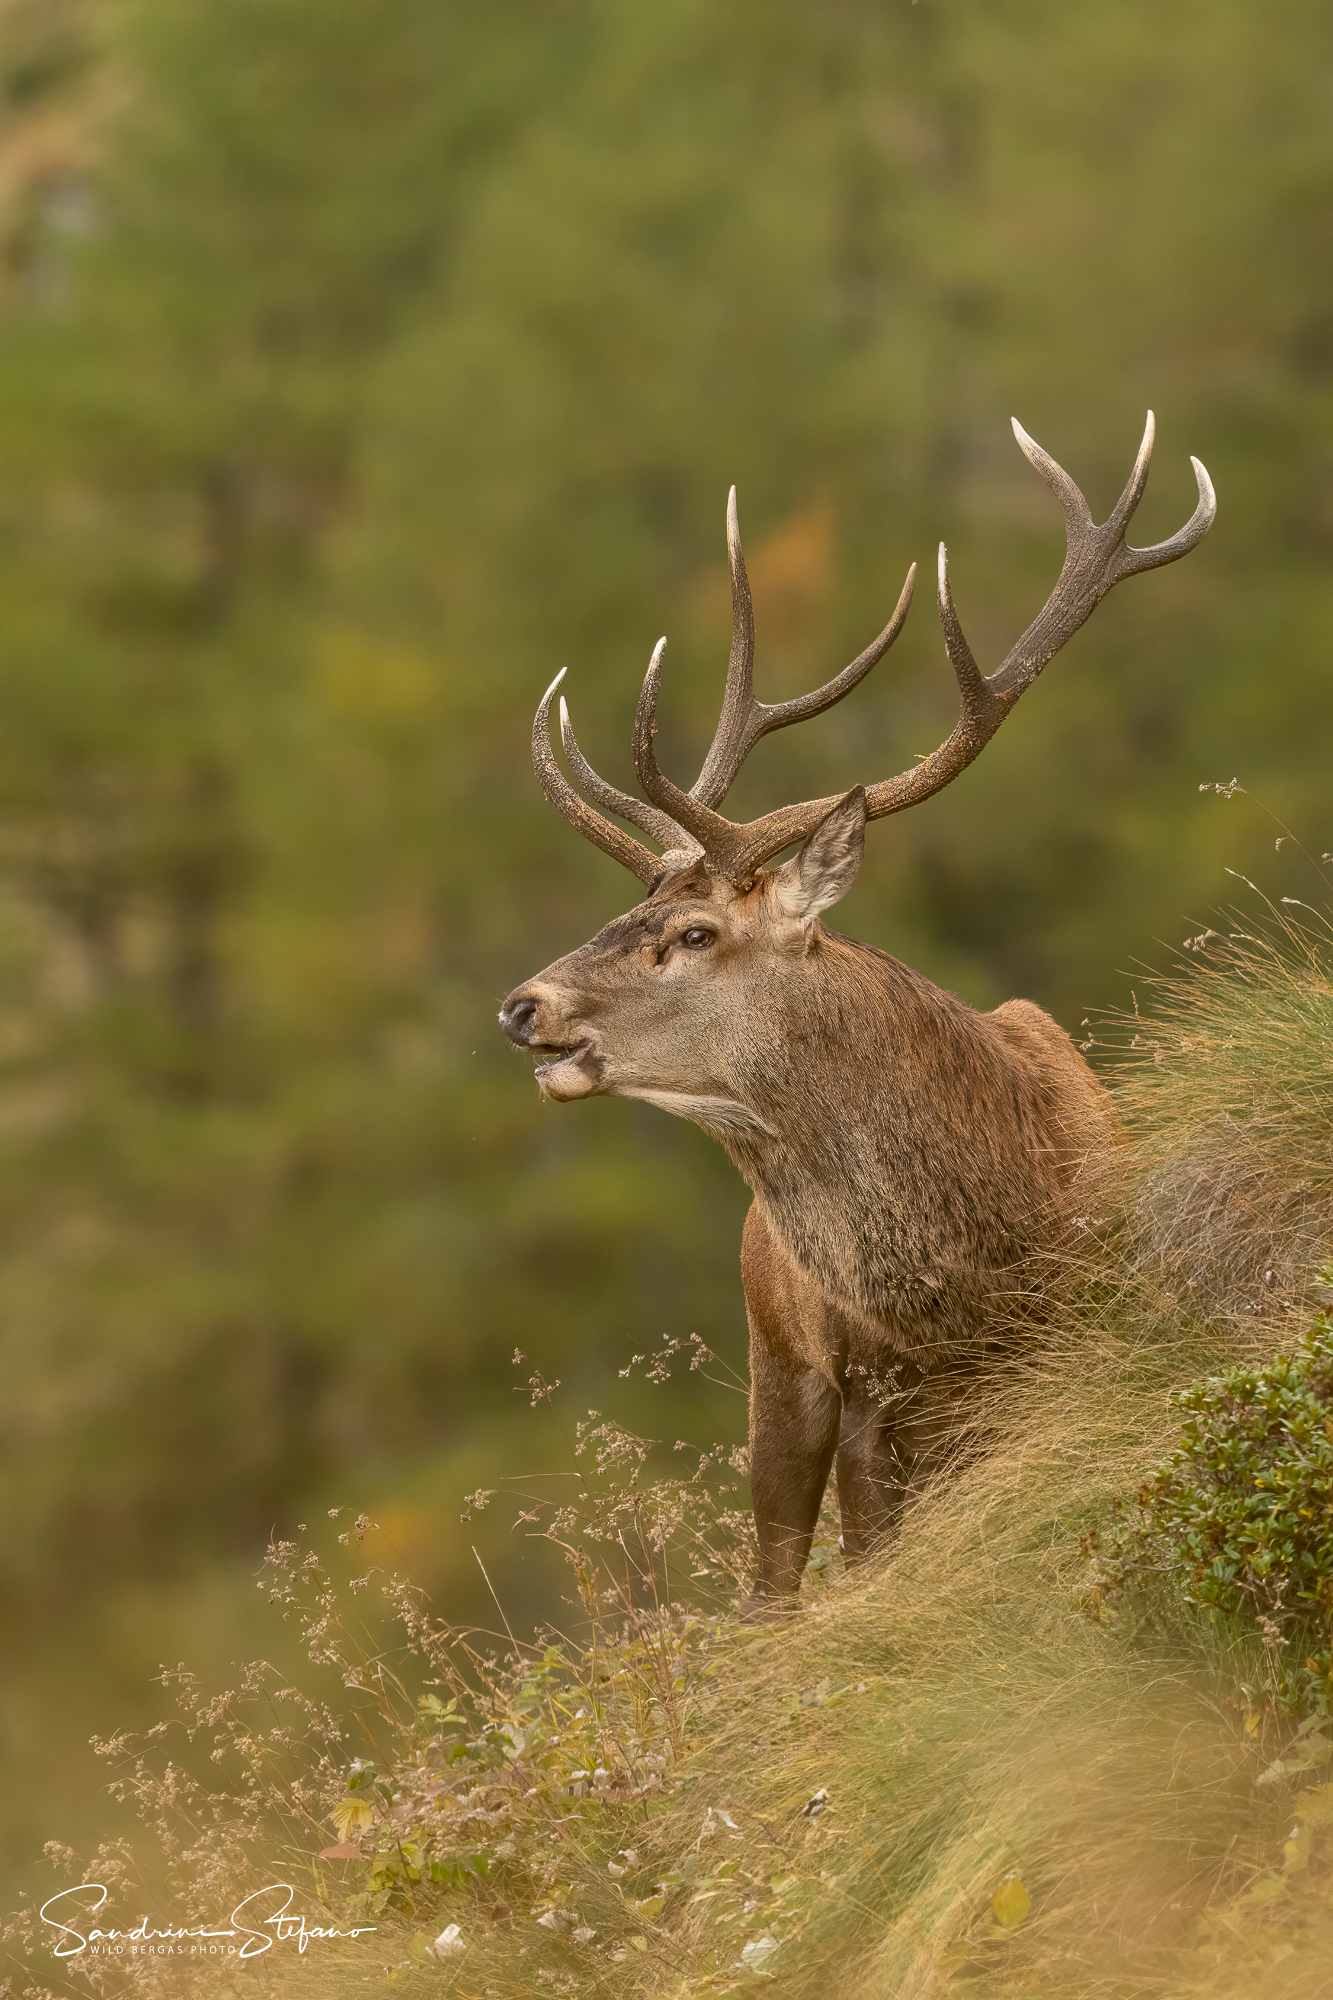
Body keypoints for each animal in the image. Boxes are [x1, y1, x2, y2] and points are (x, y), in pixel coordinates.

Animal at [499, 414, 1215, 1617]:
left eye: (695, 932)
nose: (522, 1004)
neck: (975, 1270)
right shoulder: (871, 1386)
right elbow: (869, 1557)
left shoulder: (1080, 1330)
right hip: (774, 1361)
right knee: (773, 1580)